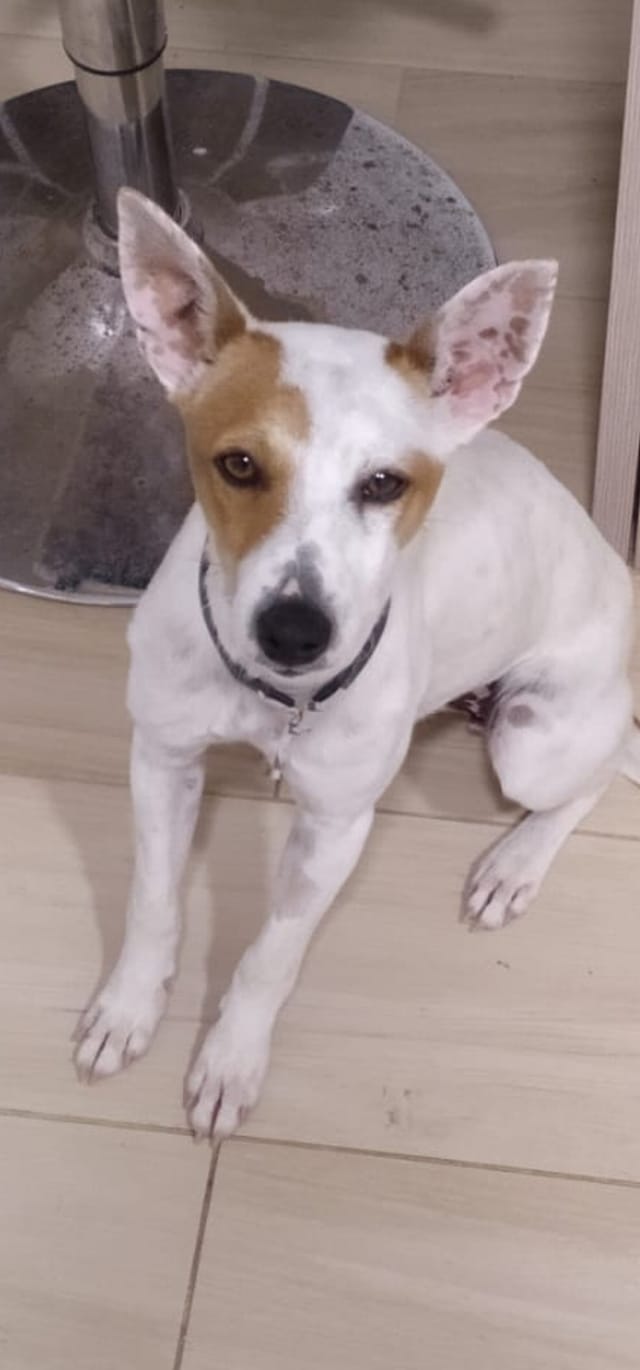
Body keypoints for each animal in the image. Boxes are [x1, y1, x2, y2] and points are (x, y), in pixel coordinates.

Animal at [74, 188, 639, 1139]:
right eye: (238, 463)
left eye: (383, 484)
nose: (294, 630)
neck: (279, 701)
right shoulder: (162, 757)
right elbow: (152, 902)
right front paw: (128, 1008)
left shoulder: (335, 829)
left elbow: (272, 953)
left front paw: (232, 1059)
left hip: (534, 741)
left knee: (590, 779)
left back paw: (514, 866)